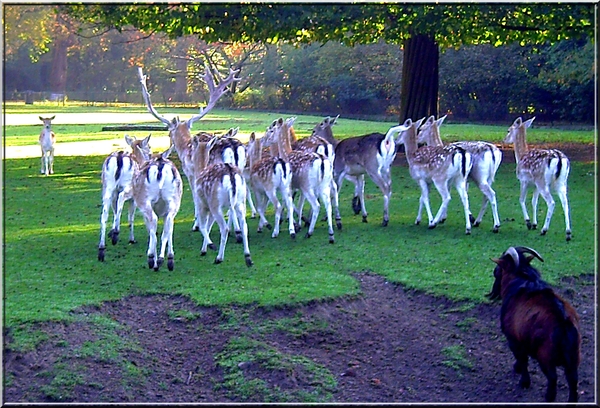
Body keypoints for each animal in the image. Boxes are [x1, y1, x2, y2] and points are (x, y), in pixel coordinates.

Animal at [98, 134, 152, 262]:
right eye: (149, 146)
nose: (151, 155)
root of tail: (119, 158)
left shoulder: (114, 194)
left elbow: (115, 210)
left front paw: (111, 231)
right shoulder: (134, 197)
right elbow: (130, 217)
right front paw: (131, 239)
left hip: (107, 188)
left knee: (104, 214)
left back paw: (102, 249)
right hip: (128, 186)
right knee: (122, 198)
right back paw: (116, 235)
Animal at [137, 67, 240, 233]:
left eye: (169, 131)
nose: (169, 140)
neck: (185, 148)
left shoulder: (190, 172)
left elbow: (195, 198)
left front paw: (196, 224)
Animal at [189, 135, 252, 266]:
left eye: (192, 149)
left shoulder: (203, 205)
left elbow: (202, 226)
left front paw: (210, 246)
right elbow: (207, 227)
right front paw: (204, 249)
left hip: (216, 204)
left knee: (225, 228)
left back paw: (219, 257)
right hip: (240, 201)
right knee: (244, 226)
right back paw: (247, 257)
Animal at [488, 245, 580, 402]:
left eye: (499, 269)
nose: (494, 272)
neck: (520, 282)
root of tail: (564, 322)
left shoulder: (514, 339)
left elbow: (522, 359)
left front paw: (524, 381)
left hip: (545, 355)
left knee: (552, 377)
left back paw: (549, 397)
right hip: (574, 356)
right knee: (573, 378)